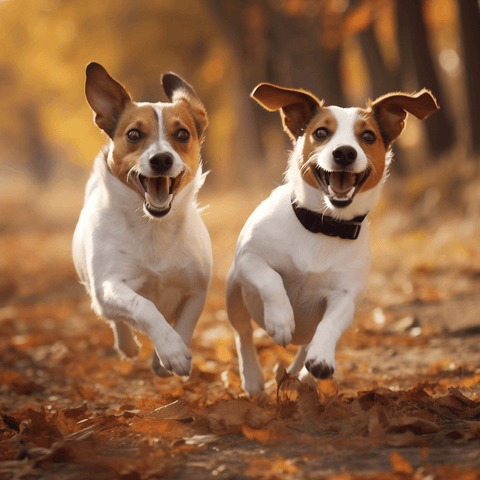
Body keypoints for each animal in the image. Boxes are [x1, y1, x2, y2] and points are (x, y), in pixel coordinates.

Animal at [73, 63, 212, 376]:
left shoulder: (197, 289)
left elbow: (185, 325)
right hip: (99, 292)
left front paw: (165, 358)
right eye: (134, 135)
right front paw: (171, 351)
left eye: (182, 134)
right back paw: (128, 346)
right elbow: (144, 307)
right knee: (117, 320)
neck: (153, 227)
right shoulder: (109, 285)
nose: (161, 159)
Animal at [225, 83, 438, 398]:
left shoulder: (345, 297)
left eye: (368, 136)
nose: (345, 153)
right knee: (243, 333)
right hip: (233, 289)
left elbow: (329, 325)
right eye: (321, 133)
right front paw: (281, 320)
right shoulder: (250, 259)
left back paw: (303, 376)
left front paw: (321, 359)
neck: (323, 225)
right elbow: (271, 280)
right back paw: (252, 378)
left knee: (304, 348)